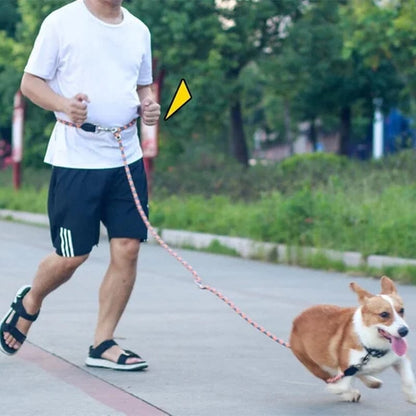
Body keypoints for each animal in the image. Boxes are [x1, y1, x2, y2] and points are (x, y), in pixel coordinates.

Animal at [290, 276, 416, 404]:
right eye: (384, 314)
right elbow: (342, 386)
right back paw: (350, 393)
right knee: (332, 377)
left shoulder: (402, 359)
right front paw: (339, 390)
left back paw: (372, 381)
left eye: (402, 310)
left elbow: (409, 380)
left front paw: (412, 396)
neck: (373, 349)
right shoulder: (345, 368)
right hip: (316, 366)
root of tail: (296, 320)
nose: (404, 331)